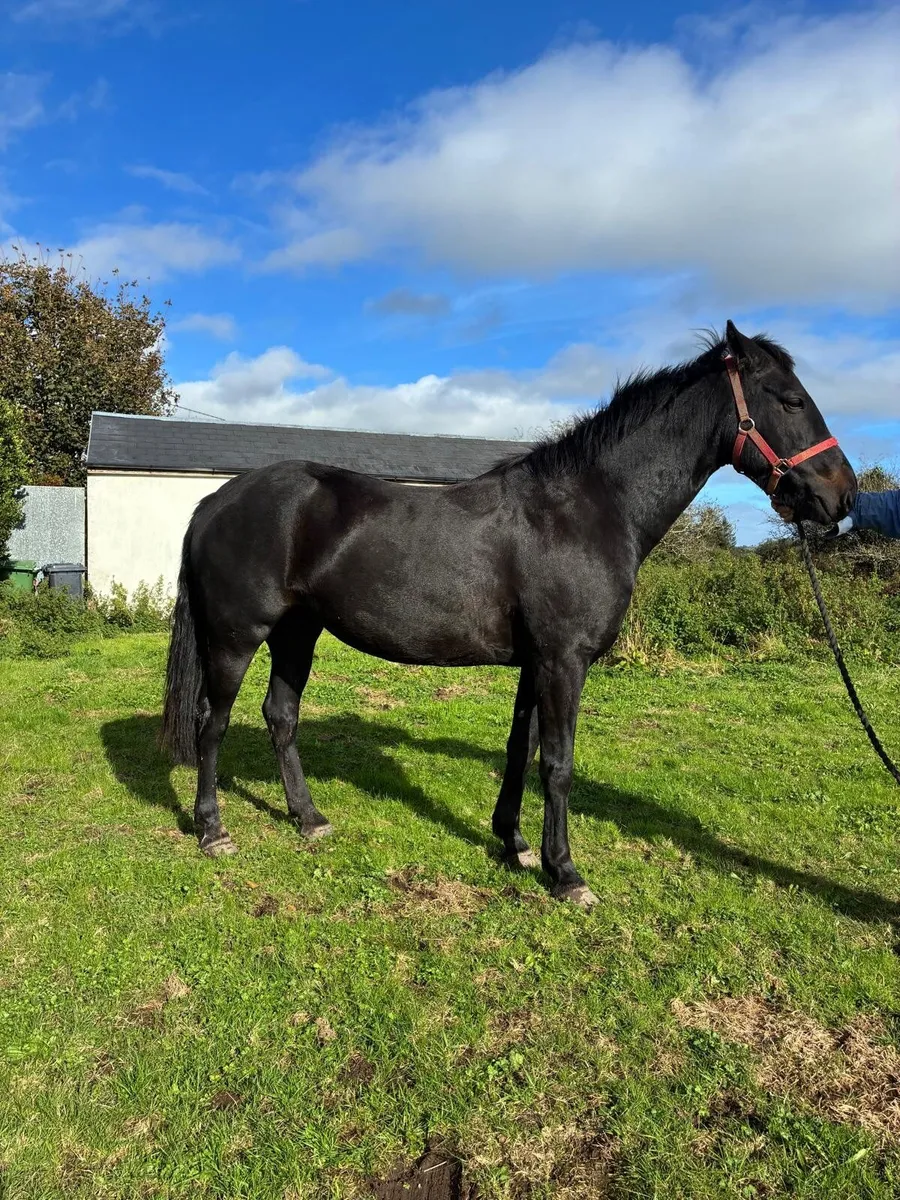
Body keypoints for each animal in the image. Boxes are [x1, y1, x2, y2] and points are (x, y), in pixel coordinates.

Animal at [160, 321, 856, 906]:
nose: (843, 495)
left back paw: (309, 820)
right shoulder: (564, 661)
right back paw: (213, 830)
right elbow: (559, 763)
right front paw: (566, 873)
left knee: (280, 716)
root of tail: (215, 501)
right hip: (237, 637)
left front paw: (515, 844)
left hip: (297, 634)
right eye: (791, 400)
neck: (583, 508)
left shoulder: (536, 663)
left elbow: (521, 750)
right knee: (212, 723)